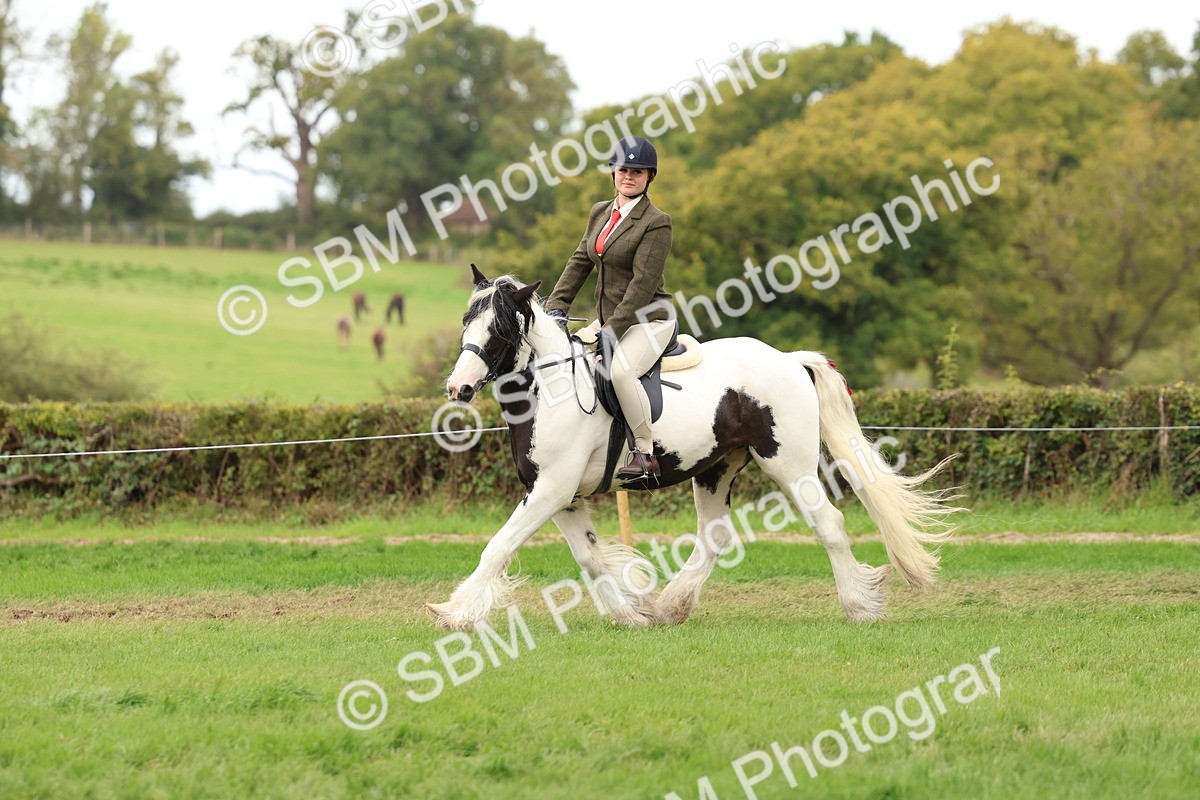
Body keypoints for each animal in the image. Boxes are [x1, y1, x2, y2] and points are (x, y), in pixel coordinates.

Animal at [429, 266, 960, 631]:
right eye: (466, 321)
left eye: (498, 329)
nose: (458, 388)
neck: (550, 389)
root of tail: (789, 359)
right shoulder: (562, 497)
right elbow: (592, 558)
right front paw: (633, 612)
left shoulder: (551, 492)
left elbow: (498, 548)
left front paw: (454, 613)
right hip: (715, 468)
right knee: (714, 536)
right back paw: (672, 605)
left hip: (789, 463)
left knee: (828, 523)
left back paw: (859, 605)